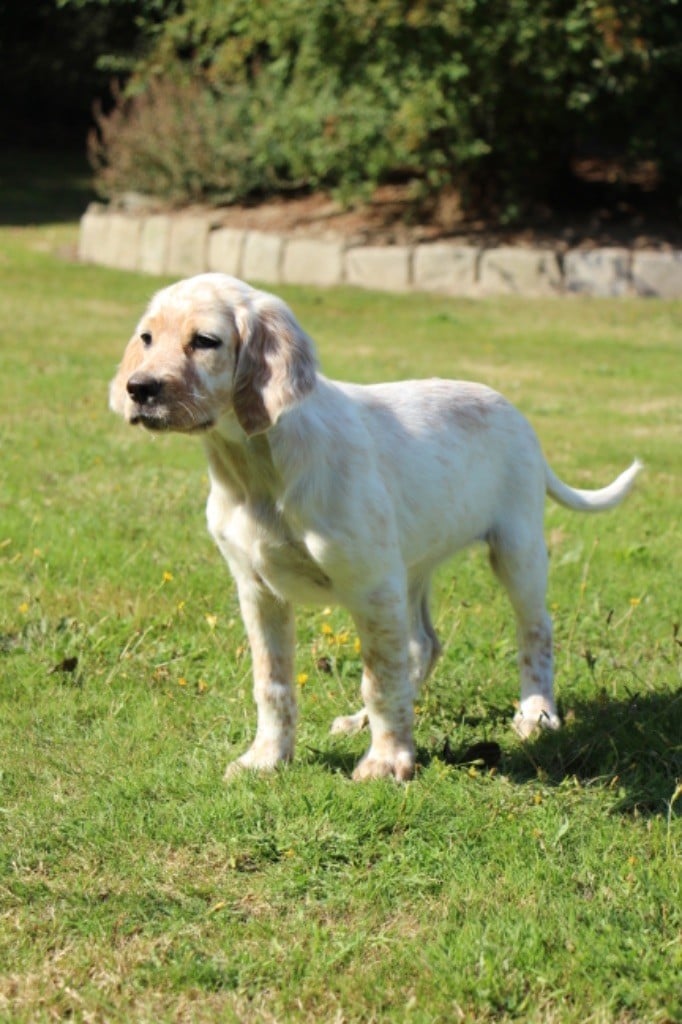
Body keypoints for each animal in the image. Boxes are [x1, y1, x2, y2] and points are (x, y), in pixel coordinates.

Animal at [110, 276, 638, 778]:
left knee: (535, 630)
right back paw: (363, 720)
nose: (139, 389)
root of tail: (513, 409)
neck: (253, 470)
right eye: (147, 337)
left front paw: (386, 762)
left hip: (516, 546)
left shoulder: (371, 584)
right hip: (411, 565)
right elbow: (273, 682)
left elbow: (380, 679)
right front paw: (266, 758)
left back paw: (536, 713)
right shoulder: (258, 589)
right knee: (421, 645)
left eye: (205, 341)